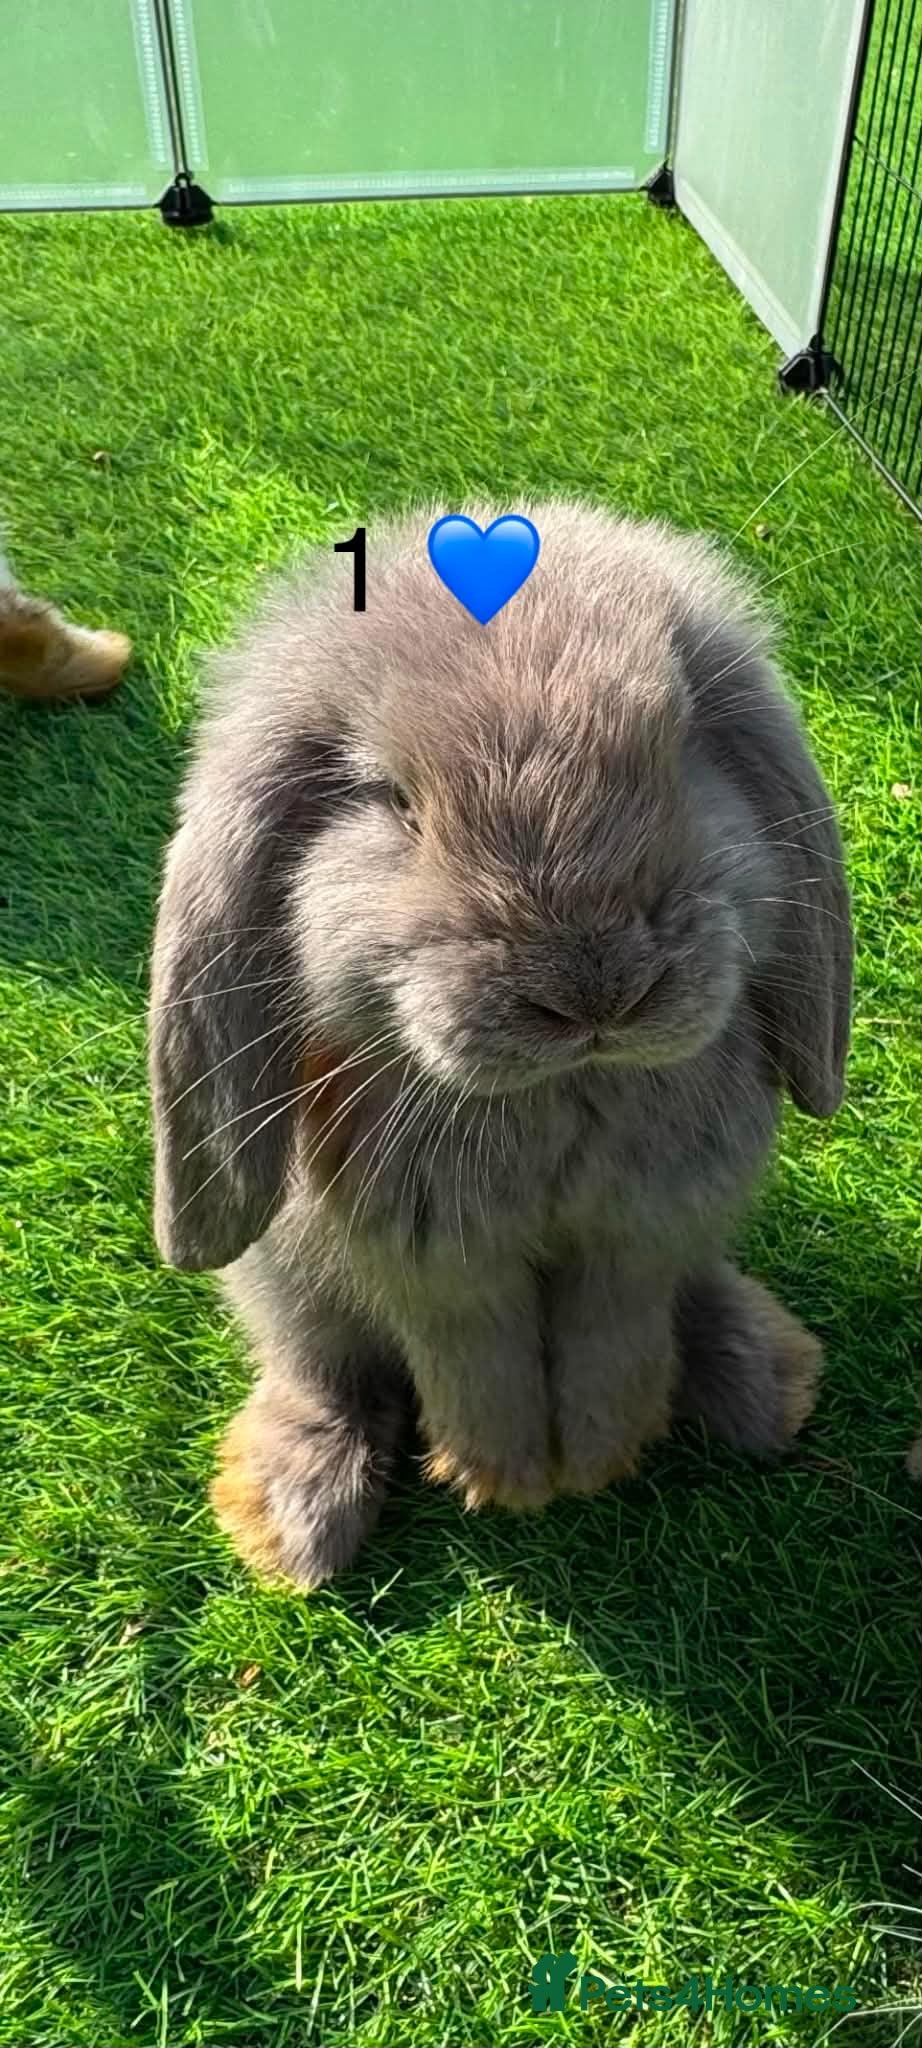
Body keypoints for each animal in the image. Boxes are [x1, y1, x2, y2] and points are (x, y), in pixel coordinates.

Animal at [148, 498, 852, 1589]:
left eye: (682, 747)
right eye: (392, 799)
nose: (594, 988)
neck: (557, 1096)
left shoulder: (639, 1233)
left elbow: (615, 1338)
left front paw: (599, 1452)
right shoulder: (436, 1266)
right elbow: (477, 1365)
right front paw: (510, 1475)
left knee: (697, 1295)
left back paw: (767, 1385)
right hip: (278, 1273)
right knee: (320, 1369)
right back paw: (293, 1524)